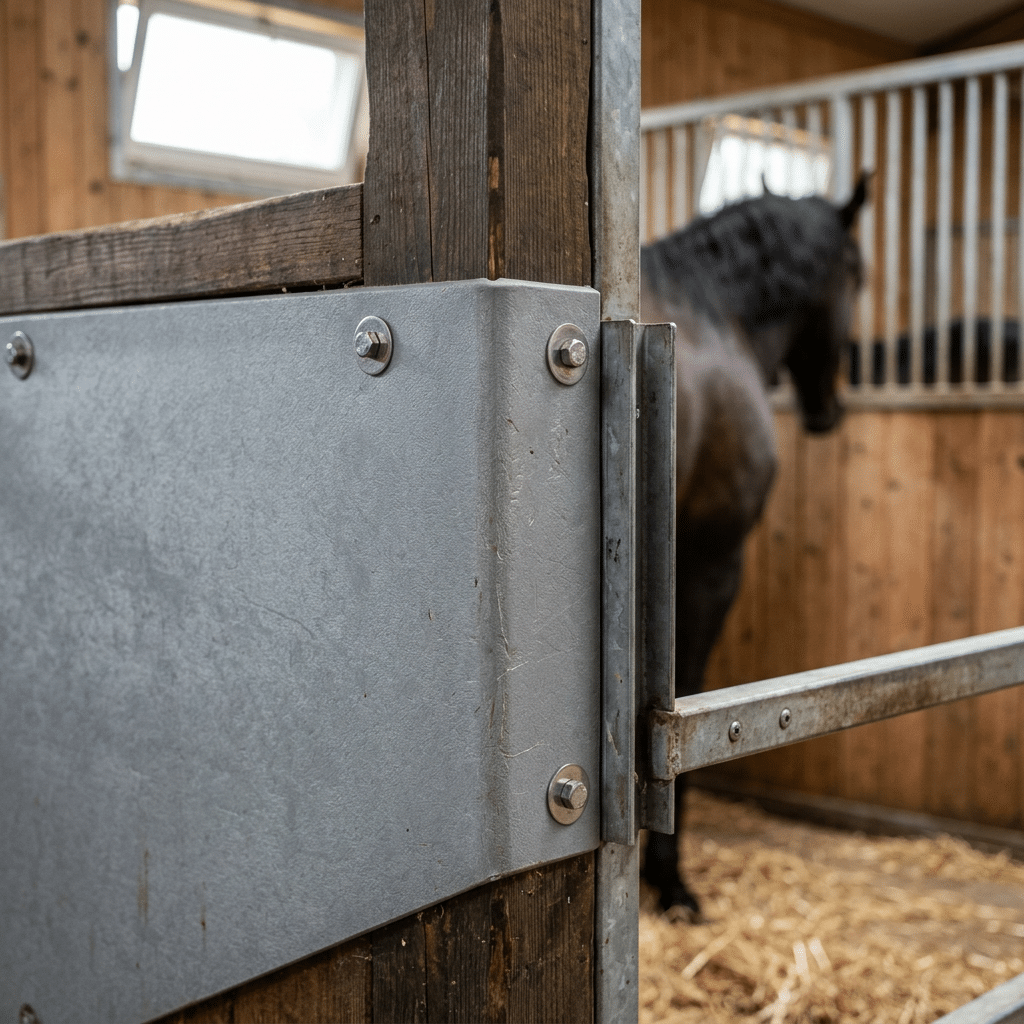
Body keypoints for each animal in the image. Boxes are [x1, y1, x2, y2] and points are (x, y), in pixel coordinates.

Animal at [638, 176, 869, 917]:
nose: (829, 411)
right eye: (857, 275)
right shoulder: (712, 561)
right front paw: (669, 878)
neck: (715, 319)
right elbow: (687, 695)